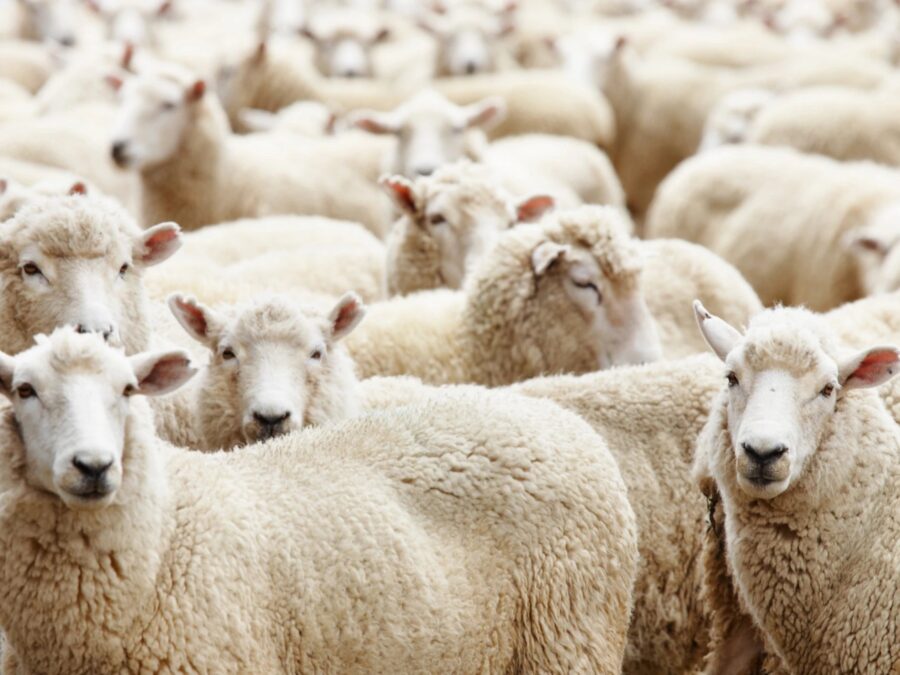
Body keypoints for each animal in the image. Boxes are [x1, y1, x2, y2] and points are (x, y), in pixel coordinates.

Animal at [0, 327, 639, 674]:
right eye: (25, 390)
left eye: (128, 390)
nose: (93, 466)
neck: (163, 540)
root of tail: (556, 418)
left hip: (570, 638)